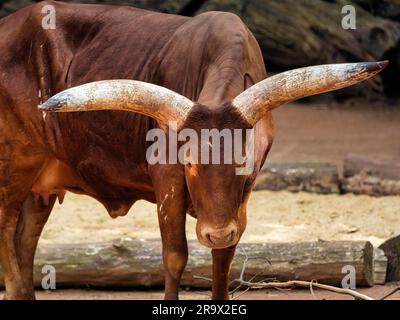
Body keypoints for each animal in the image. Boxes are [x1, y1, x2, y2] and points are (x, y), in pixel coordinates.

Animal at [0, 0, 388, 300]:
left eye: (244, 164)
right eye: (189, 164)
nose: (216, 231)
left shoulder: (242, 199)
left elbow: (224, 258)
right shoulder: (167, 180)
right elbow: (175, 256)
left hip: (40, 185)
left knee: (25, 240)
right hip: (14, 162)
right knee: (6, 227)